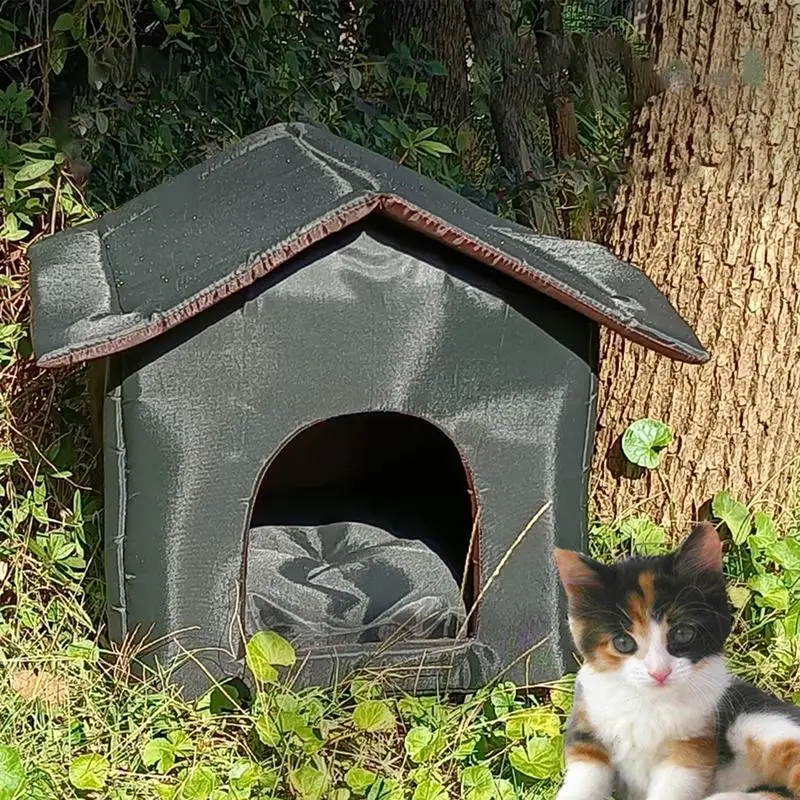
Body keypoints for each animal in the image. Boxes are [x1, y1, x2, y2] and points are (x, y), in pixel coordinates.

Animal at [552, 520, 800, 796]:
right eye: (624, 643)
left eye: (683, 634)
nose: (659, 672)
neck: (649, 702)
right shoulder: (586, 732)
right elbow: (584, 778)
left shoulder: (692, 748)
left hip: (754, 722)